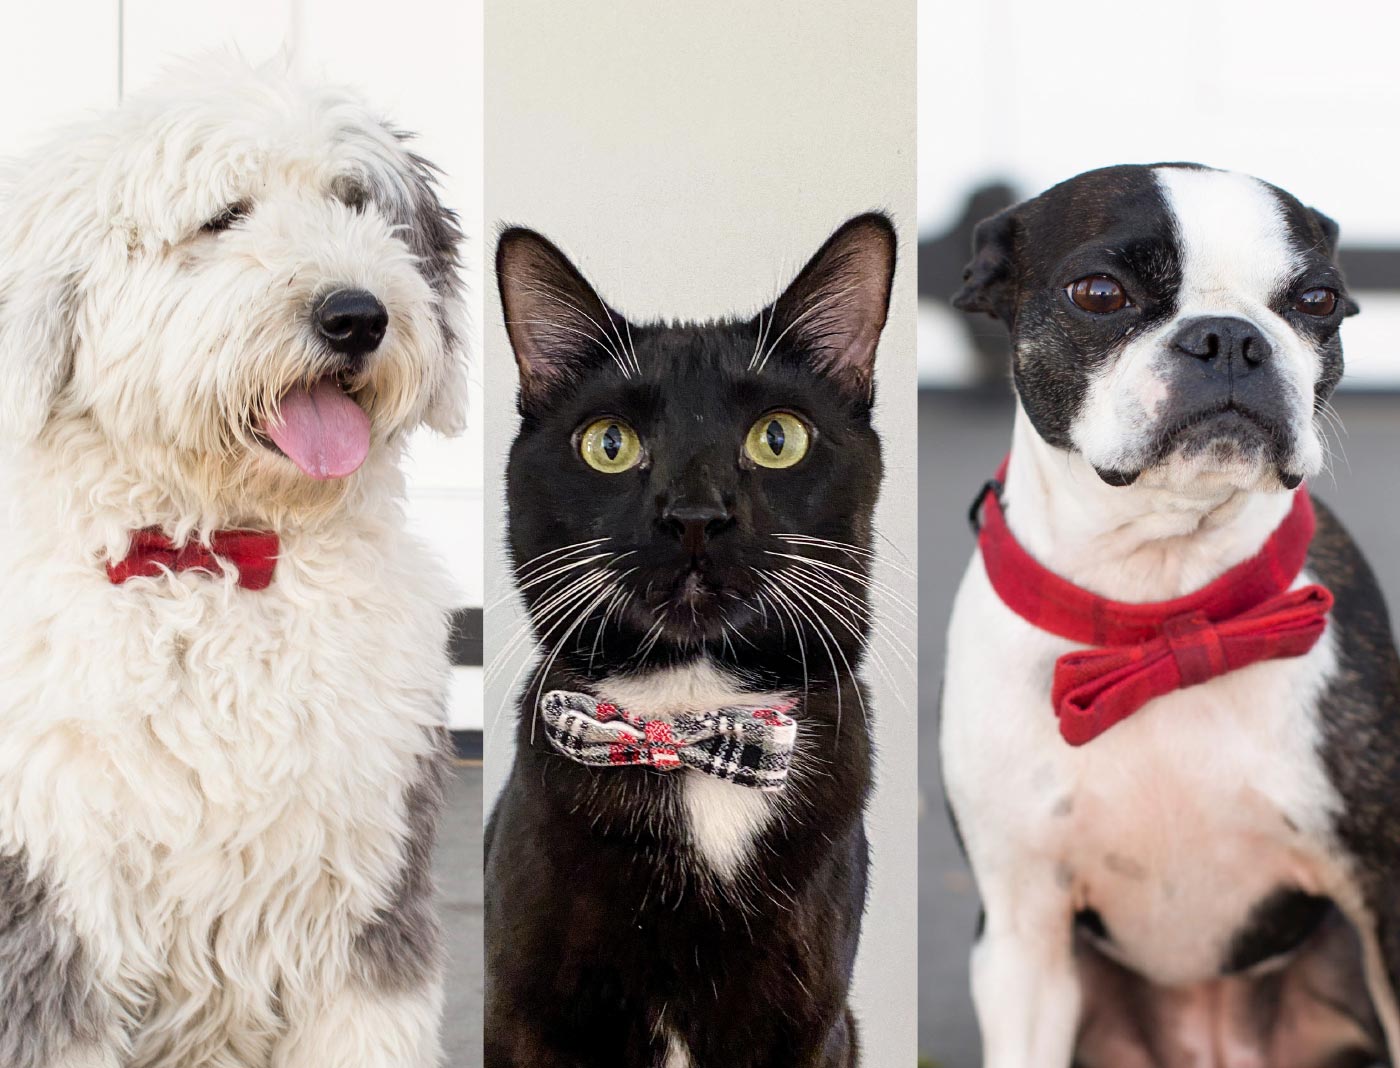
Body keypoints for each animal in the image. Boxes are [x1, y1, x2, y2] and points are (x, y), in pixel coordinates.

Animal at [0, 60, 470, 1068]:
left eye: (356, 202)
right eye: (224, 216)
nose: (355, 315)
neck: (211, 562)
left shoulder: (364, 911)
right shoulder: (48, 914)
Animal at [484, 212, 896, 1063]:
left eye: (779, 438)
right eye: (609, 444)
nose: (696, 513)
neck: (687, 713)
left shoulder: (813, 1022)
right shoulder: (523, 1015)